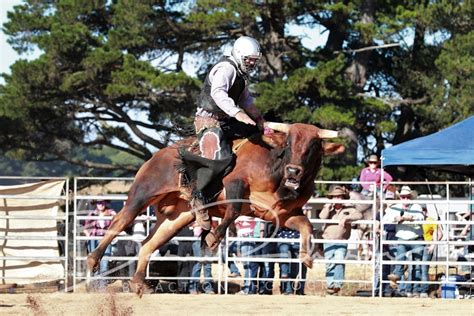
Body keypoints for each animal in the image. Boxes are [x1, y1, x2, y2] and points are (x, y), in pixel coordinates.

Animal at [88, 122, 348, 296]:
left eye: (314, 145)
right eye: (288, 144)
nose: (294, 170)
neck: (276, 171)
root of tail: (158, 155)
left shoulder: (284, 214)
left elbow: (306, 225)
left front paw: (307, 257)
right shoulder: (234, 183)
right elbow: (233, 209)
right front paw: (212, 238)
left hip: (176, 217)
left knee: (149, 243)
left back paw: (140, 282)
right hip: (141, 194)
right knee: (118, 223)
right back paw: (93, 260)